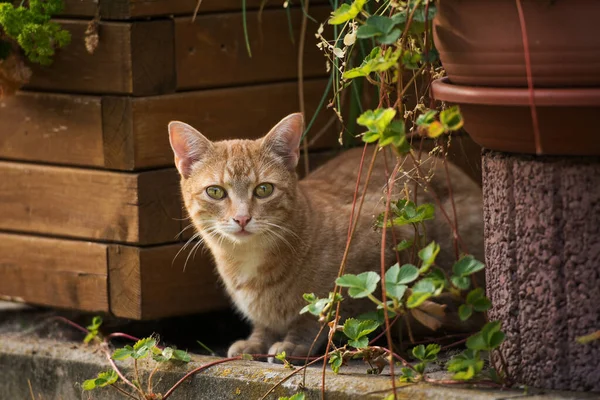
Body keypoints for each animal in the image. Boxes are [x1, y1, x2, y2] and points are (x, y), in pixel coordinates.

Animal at [168, 112, 482, 362]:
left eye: (264, 190)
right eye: (216, 192)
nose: (242, 218)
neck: (248, 262)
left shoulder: (379, 254)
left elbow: (321, 311)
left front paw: (295, 342)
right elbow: (264, 323)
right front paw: (256, 340)